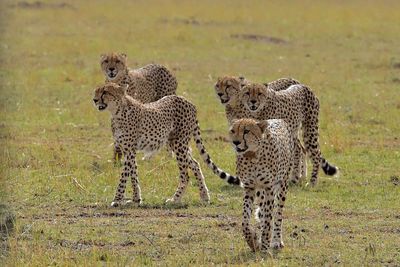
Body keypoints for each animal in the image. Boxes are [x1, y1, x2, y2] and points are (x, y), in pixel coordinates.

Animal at [92, 83, 239, 207]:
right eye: (97, 91)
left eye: (105, 92)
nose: (94, 100)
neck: (117, 111)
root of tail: (187, 101)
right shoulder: (129, 150)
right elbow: (133, 174)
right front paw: (136, 199)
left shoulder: (130, 150)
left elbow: (124, 176)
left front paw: (117, 200)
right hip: (176, 144)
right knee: (195, 164)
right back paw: (204, 196)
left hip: (179, 144)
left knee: (185, 175)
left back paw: (175, 199)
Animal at [228, 119, 294, 251]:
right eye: (233, 131)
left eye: (246, 131)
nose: (236, 142)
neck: (252, 155)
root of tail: (278, 119)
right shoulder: (249, 188)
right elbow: (245, 220)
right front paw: (252, 240)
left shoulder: (269, 188)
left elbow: (269, 218)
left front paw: (264, 244)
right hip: (261, 191)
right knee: (263, 211)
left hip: (282, 184)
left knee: (278, 214)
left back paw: (276, 240)